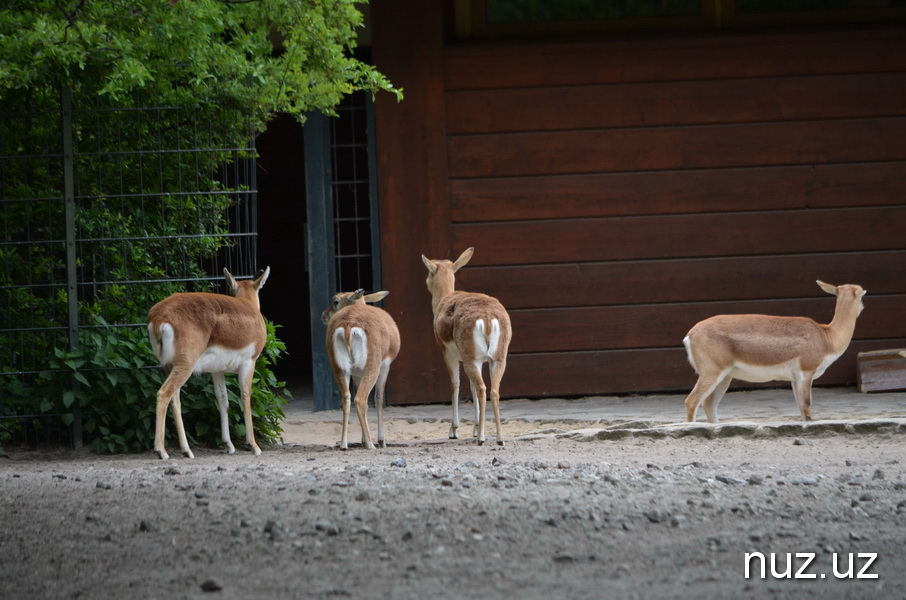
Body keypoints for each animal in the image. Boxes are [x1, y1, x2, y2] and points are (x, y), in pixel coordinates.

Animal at [147, 268, 268, 460]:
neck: (248, 307)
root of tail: (158, 317)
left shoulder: (217, 370)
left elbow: (223, 400)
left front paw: (229, 445)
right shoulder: (249, 363)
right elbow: (245, 397)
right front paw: (254, 446)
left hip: (169, 366)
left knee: (175, 399)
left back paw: (187, 450)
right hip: (185, 366)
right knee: (164, 393)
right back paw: (162, 451)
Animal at [322, 288, 400, 448]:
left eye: (335, 301)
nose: (323, 315)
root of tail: (348, 325)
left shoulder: (356, 374)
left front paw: (362, 440)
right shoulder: (385, 367)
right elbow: (379, 399)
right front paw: (381, 441)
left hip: (340, 369)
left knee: (346, 398)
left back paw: (343, 444)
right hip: (372, 369)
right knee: (360, 399)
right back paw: (371, 445)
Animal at [418, 245, 508, 446]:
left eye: (428, 272)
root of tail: (487, 318)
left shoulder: (448, 354)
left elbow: (455, 385)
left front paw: (453, 430)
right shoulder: (479, 360)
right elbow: (471, 388)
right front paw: (474, 428)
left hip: (471, 360)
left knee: (482, 389)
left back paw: (482, 439)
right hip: (496, 359)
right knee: (494, 390)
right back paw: (499, 438)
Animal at [680, 280, 864, 424]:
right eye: (862, 296)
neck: (828, 336)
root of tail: (690, 334)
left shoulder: (795, 379)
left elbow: (801, 409)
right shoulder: (806, 372)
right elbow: (807, 406)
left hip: (725, 377)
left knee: (709, 405)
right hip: (711, 373)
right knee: (691, 401)